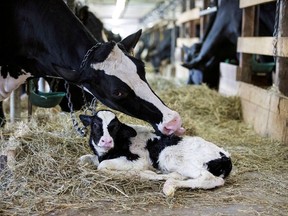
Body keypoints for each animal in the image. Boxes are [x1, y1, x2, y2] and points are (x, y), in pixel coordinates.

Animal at [79, 110, 232, 197]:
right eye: (95, 125)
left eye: (115, 127)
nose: (106, 141)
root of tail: (226, 157)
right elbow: (85, 159)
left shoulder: (139, 160)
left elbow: (102, 166)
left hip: (169, 155)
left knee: (210, 178)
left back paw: (168, 185)